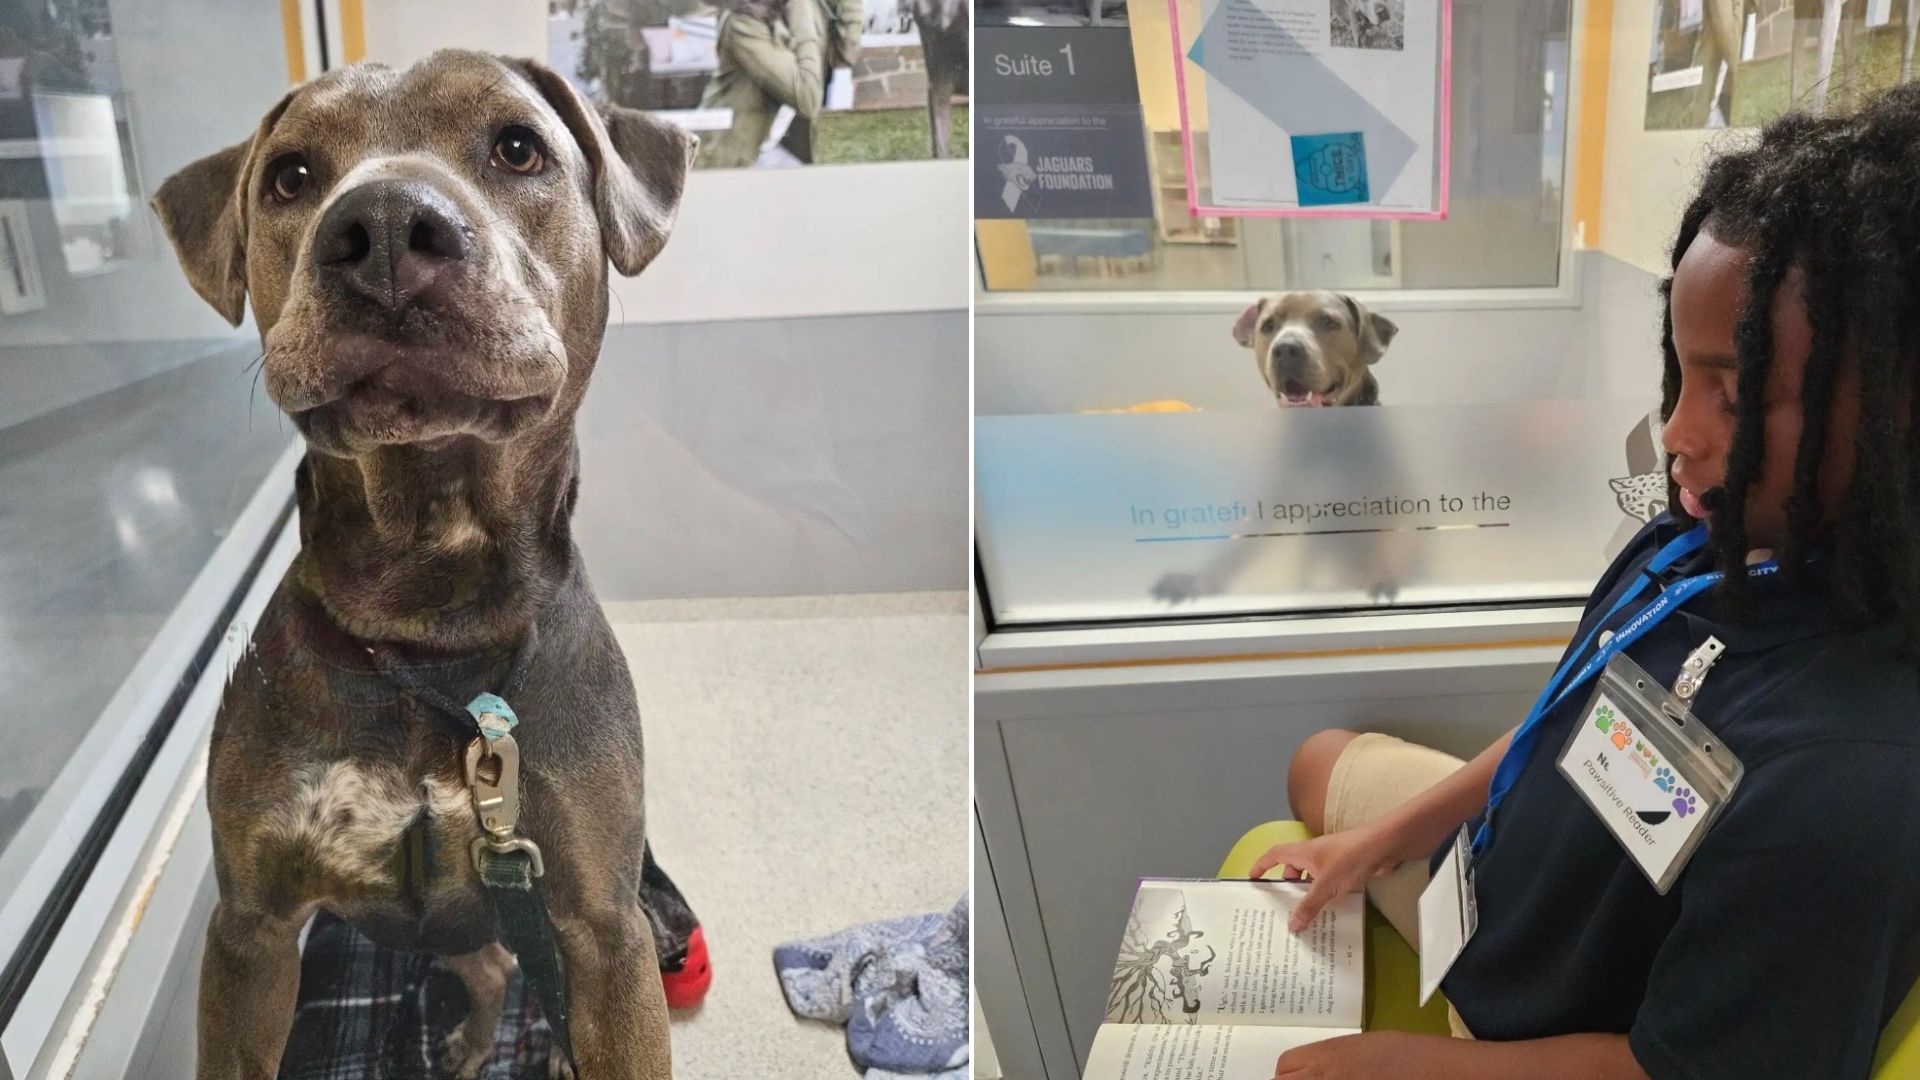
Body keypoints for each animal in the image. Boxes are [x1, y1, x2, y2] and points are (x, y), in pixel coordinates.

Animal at [151, 50, 691, 1076]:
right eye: (291, 175)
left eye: (518, 147)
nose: (388, 228)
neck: (426, 620)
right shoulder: (251, 931)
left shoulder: (605, 932)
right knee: (491, 970)